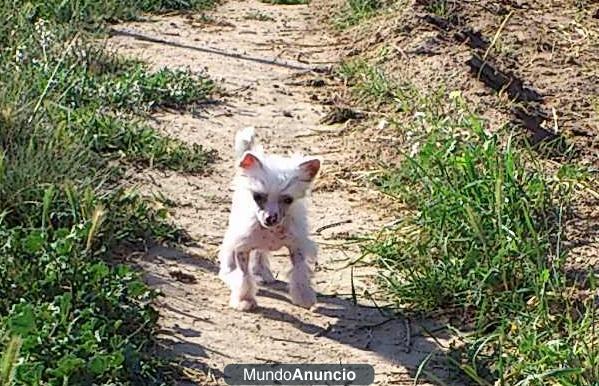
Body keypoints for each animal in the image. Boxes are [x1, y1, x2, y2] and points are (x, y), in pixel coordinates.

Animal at [219, 128, 322, 312]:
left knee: (260, 252)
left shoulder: (297, 247)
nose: (270, 218)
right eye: (258, 196)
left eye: (288, 199)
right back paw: (229, 271)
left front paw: (304, 296)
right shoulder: (242, 247)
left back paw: (261, 272)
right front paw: (244, 300)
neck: (271, 231)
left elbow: (300, 271)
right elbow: (244, 276)